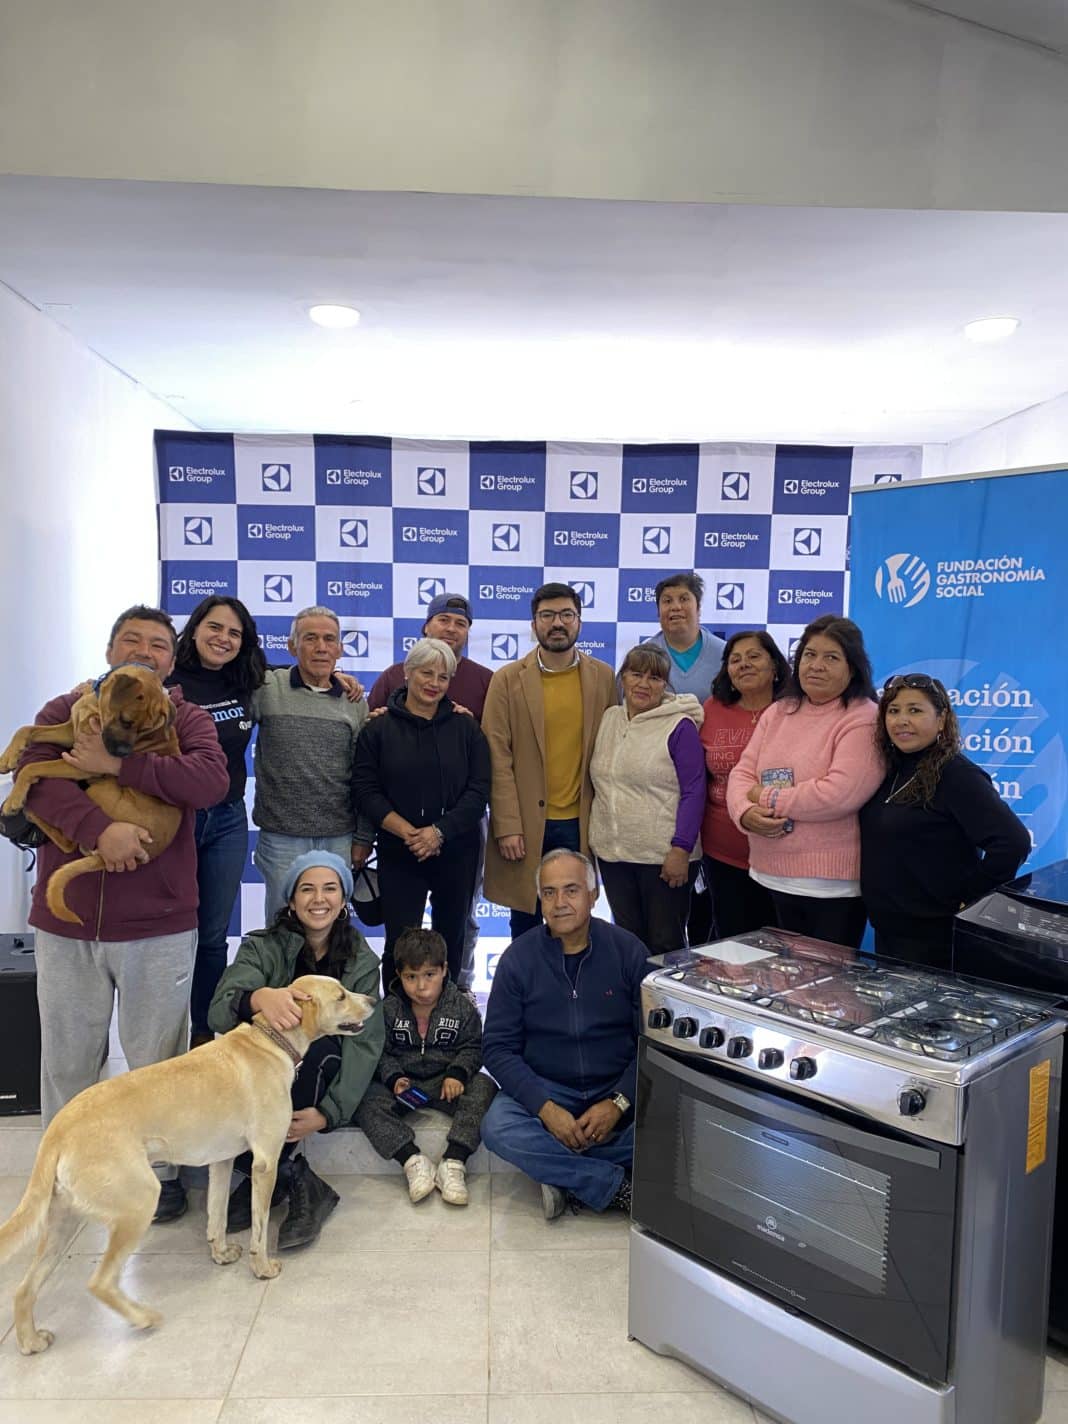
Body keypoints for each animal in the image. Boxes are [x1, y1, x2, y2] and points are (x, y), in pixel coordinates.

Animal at [0, 666, 182, 922]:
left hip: (100, 790)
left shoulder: (83, 763)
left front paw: (15, 798)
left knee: (69, 842)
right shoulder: (69, 731)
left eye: (145, 731)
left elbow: (32, 767)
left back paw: (29, 811)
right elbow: (27, 729)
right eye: (126, 721)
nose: (124, 755)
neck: (96, 706)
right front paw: (8, 756)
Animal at [0, 974, 381, 1349]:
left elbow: (217, 1215)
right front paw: (262, 1268)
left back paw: (30, 1340)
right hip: (137, 1203)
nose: (373, 1000)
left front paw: (221, 1253)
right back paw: (143, 1317)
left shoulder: (222, 1161)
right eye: (340, 996)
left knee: (23, 1288)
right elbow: (259, 1228)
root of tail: (57, 1130)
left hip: (61, 1221)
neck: (270, 1040)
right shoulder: (265, 1163)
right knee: (99, 1282)